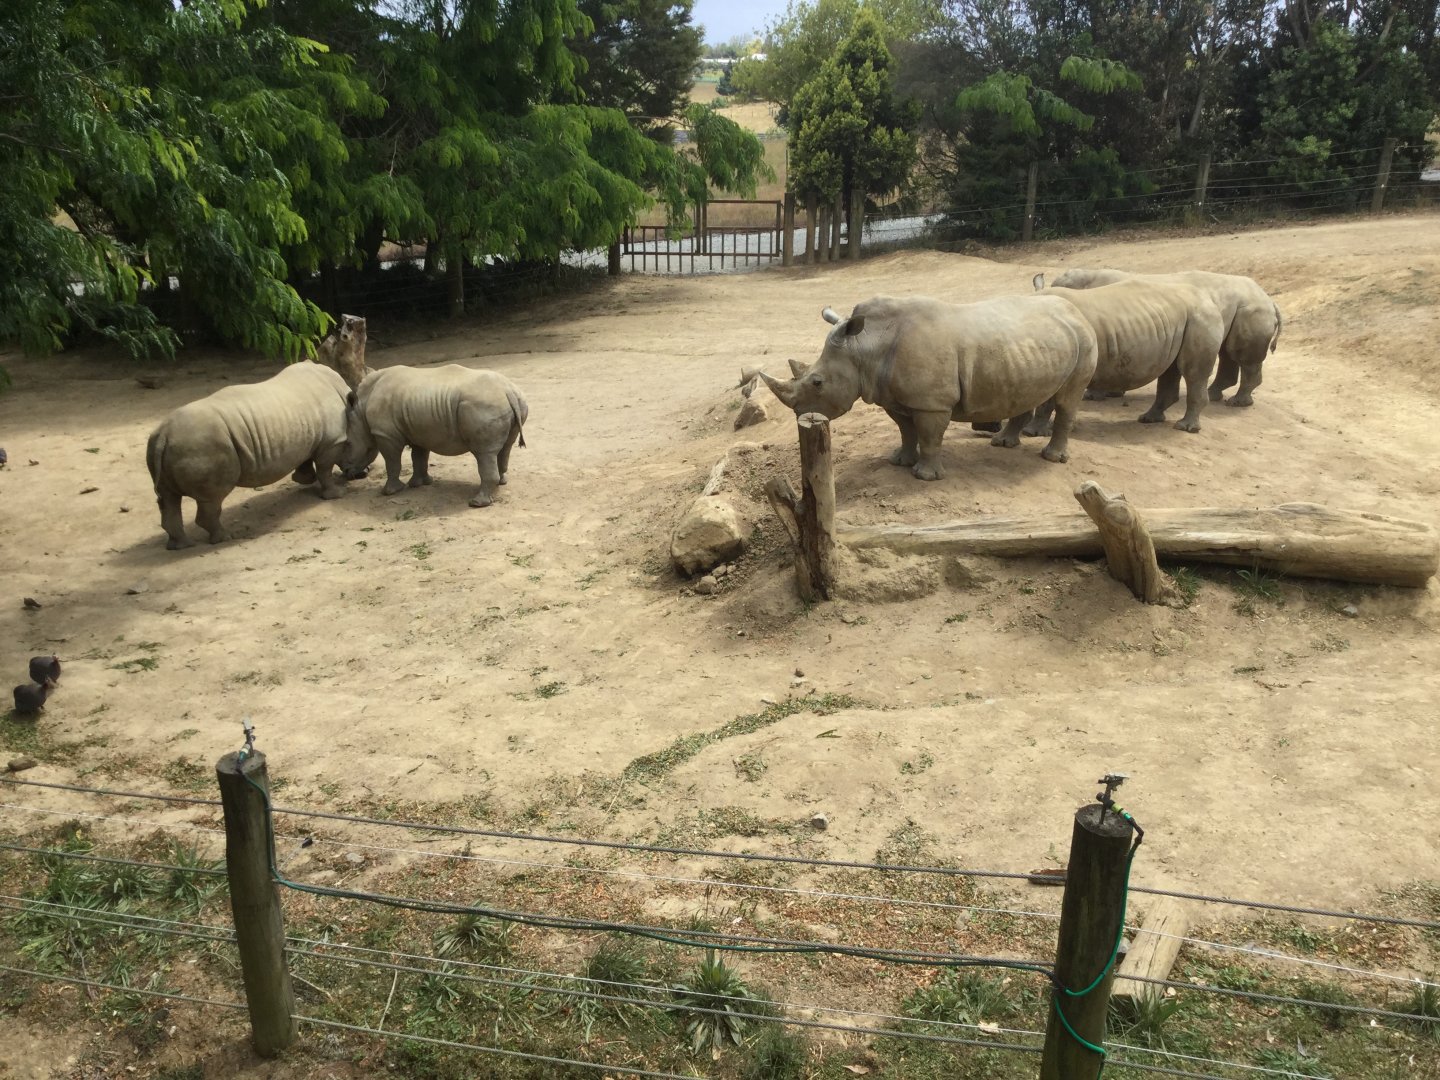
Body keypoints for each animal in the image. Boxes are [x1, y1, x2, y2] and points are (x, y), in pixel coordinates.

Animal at [146, 362, 354, 549]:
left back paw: (180, 546)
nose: (355, 474)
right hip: (202, 446)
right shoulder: (333, 441)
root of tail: (164, 434)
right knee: (212, 498)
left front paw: (304, 479)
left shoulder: (311, 435)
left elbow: (306, 457)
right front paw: (337, 494)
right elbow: (325, 468)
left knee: (169, 498)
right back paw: (225, 538)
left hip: (166, 447)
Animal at [343, 364, 528, 508]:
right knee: (504, 448)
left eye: (348, 444)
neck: (360, 410)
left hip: (484, 406)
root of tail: (508, 391)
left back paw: (476, 503)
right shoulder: (418, 430)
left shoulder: (385, 434)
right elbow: (419, 457)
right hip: (516, 403)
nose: (348, 473)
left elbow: (393, 462)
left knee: (484, 453)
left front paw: (389, 492)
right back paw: (501, 483)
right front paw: (419, 484)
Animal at [757, 295, 1098, 480]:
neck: (865, 347)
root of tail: (1077, 310)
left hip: (1084, 337)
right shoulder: (894, 398)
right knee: (1026, 392)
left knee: (1069, 399)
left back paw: (1052, 458)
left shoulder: (932, 403)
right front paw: (899, 461)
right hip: (1037, 346)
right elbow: (906, 431)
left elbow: (930, 435)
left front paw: (925, 476)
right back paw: (1003, 444)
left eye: (817, 382)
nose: (800, 414)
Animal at [1025, 278, 1225, 435]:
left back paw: (1185, 427)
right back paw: (1148, 419)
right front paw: (1033, 432)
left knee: (1192, 373)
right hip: (1181, 320)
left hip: (1200, 318)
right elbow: (1045, 401)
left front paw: (1035, 432)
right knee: (1170, 369)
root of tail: (1208, 299)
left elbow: (1048, 400)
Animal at [1040, 268, 1282, 407]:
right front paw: (1112, 393)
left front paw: (1096, 395)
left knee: (1240, 356)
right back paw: (1215, 396)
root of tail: (1268, 299)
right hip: (1239, 309)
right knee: (1227, 352)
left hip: (1251, 309)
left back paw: (1237, 403)